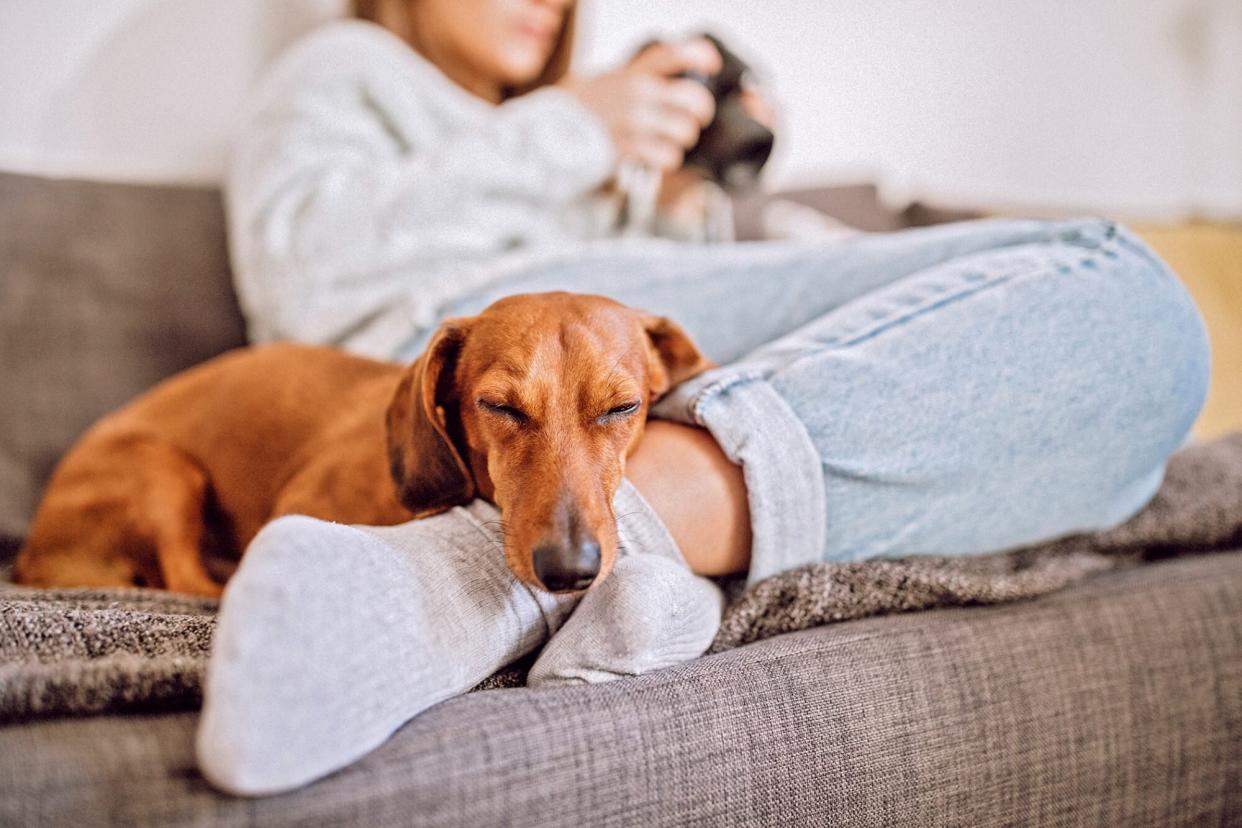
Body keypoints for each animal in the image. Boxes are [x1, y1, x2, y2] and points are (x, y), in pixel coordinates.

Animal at [12, 291, 710, 595]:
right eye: (499, 407)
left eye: (623, 407)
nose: (570, 571)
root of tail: (34, 553)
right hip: (164, 472)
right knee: (187, 581)